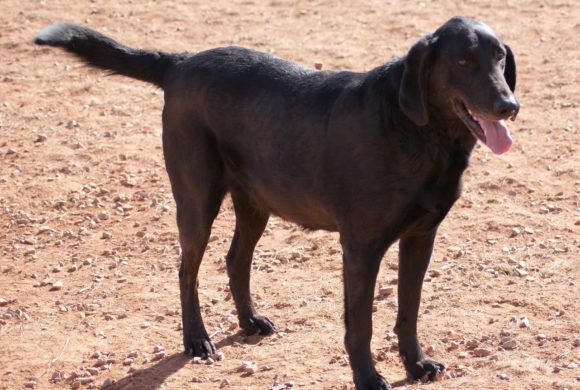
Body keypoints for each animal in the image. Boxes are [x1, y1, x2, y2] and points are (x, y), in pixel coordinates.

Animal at [35, 17, 516, 390]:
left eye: (499, 58)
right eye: (462, 61)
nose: (508, 105)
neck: (419, 132)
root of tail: (181, 62)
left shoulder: (421, 237)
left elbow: (408, 311)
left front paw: (416, 365)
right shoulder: (361, 247)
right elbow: (360, 324)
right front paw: (367, 378)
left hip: (255, 202)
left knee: (235, 260)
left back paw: (249, 322)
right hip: (197, 199)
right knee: (187, 270)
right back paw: (197, 340)